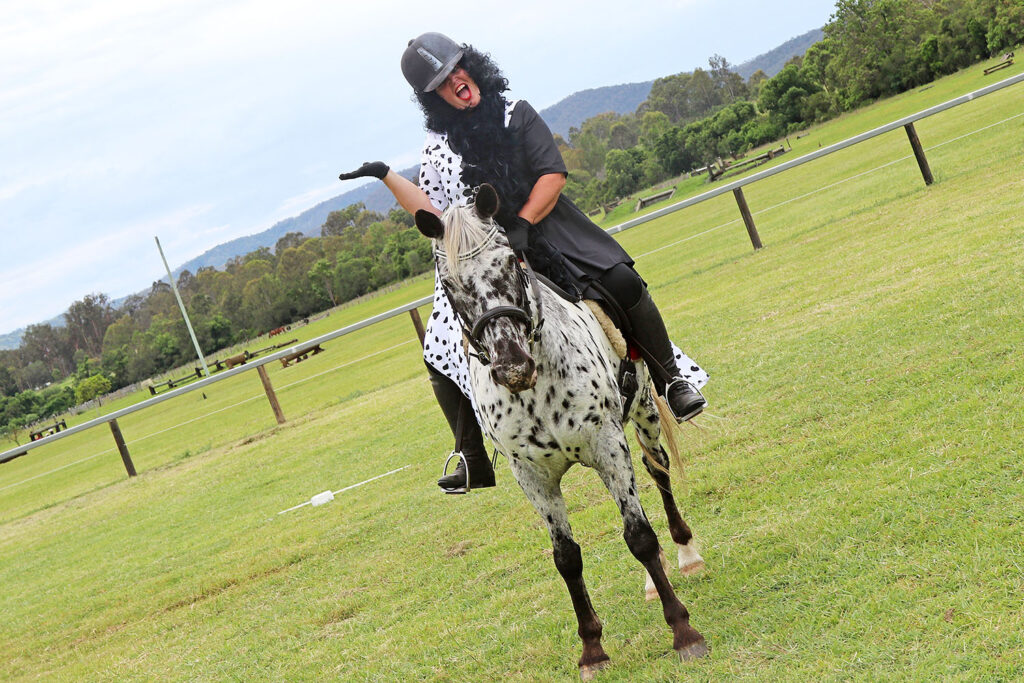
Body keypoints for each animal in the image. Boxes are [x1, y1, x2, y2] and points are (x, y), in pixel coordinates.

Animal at [411, 183, 708, 679]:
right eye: (448, 285)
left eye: (510, 261)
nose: (512, 365)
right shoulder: (532, 476)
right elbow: (566, 558)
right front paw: (592, 650)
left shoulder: (608, 446)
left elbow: (640, 536)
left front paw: (683, 632)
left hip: (643, 412)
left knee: (659, 473)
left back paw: (685, 555)